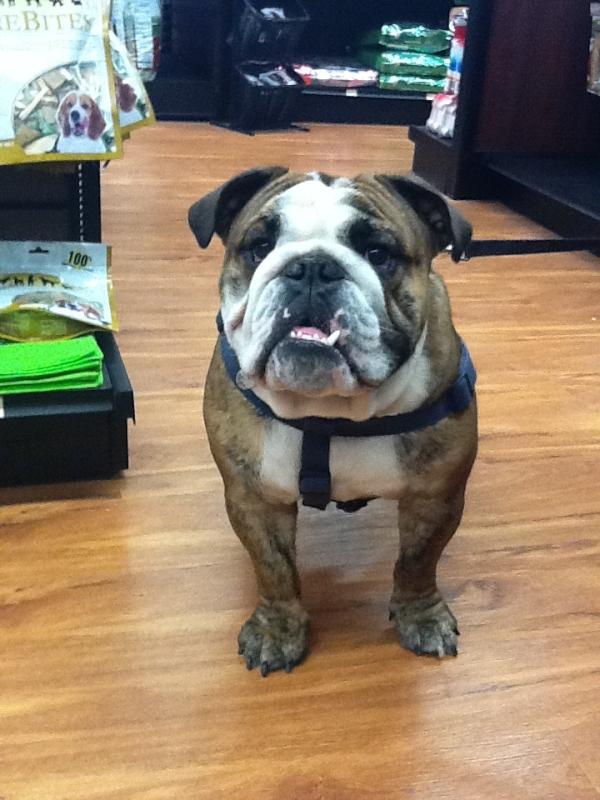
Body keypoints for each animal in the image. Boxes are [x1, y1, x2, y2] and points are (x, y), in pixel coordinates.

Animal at [188, 168, 478, 676]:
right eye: (259, 246)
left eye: (378, 254)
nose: (311, 267)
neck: (330, 411)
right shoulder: (254, 499)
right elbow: (275, 569)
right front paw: (277, 630)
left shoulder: (435, 496)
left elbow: (418, 562)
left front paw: (421, 616)